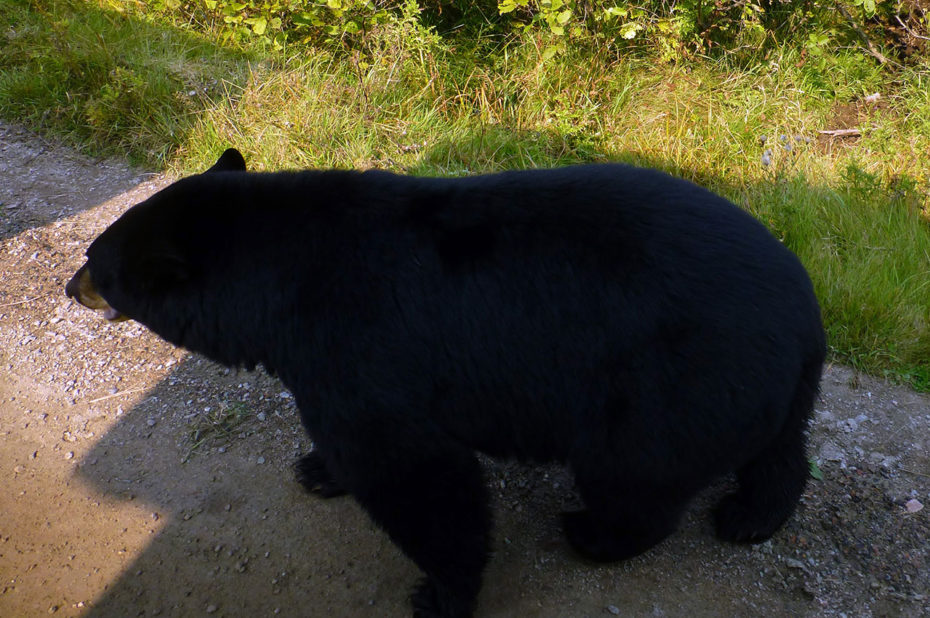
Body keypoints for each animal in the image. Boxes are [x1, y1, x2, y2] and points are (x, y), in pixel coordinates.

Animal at [65, 149, 824, 616]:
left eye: (97, 261)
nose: (69, 286)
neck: (276, 284)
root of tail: (806, 311)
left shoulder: (360, 351)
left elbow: (416, 476)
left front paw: (441, 595)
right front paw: (317, 469)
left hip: (663, 386)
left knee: (633, 480)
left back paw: (594, 534)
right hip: (760, 384)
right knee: (780, 450)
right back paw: (750, 516)